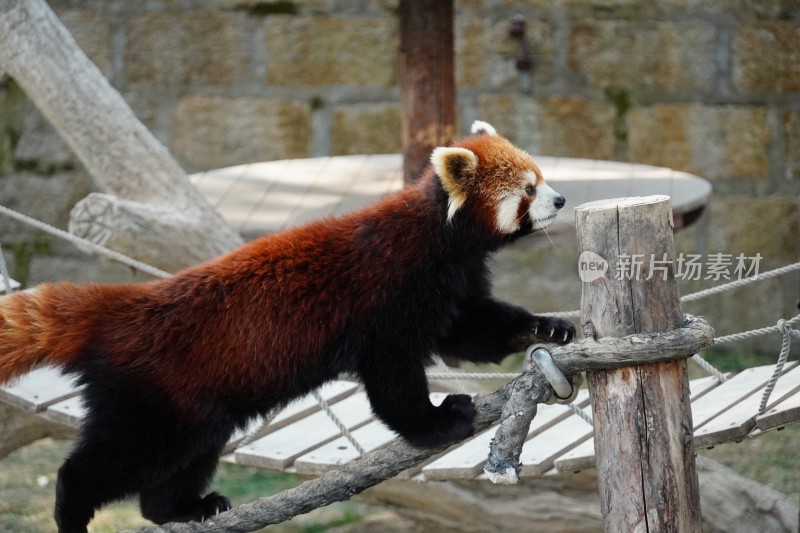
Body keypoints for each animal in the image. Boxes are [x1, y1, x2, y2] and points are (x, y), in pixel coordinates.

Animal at [0, 121, 576, 532]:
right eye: (529, 188)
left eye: (541, 178)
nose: (562, 199)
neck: (439, 241)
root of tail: (121, 305)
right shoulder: (390, 298)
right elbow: (392, 380)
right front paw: (436, 421)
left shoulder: (453, 287)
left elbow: (472, 331)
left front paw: (546, 329)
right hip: (151, 401)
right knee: (111, 459)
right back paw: (72, 510)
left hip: (196, 409)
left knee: (182, 461)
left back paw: (182, 509)